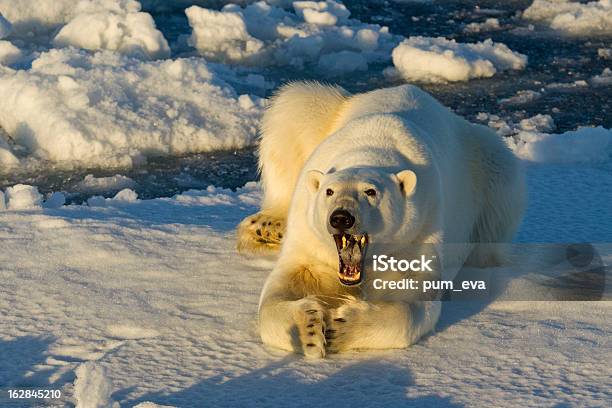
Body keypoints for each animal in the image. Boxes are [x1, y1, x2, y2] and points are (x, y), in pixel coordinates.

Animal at [237, 82, 524, 356]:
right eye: (329, 191)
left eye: (371, 192)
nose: (341, 218)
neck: (370, 148)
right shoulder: (310, 236)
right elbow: (287, 283)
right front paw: (308, 327)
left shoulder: (417, 231)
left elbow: (413, 300)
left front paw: (340, 327)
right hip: (320, 114)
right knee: (292, 109)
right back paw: (267, 227)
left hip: (487, 165)